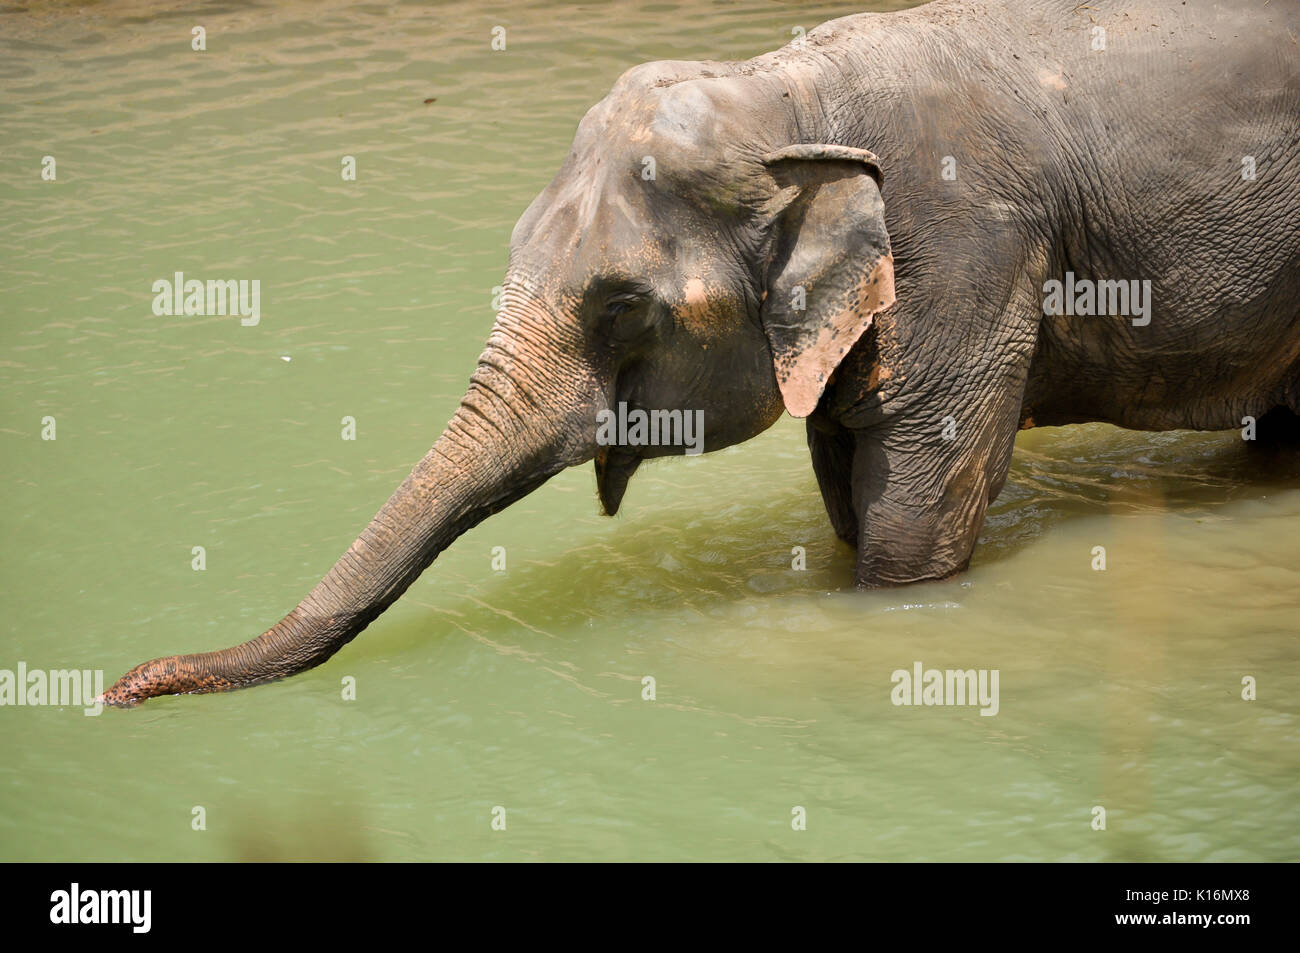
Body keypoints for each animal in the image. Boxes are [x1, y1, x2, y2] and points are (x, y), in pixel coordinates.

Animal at [100, 0, 1300, 705]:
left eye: (623, 309)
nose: (116, 687)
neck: (785, 88)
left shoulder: (972, 250)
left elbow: (917, 505)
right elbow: (842, 474)